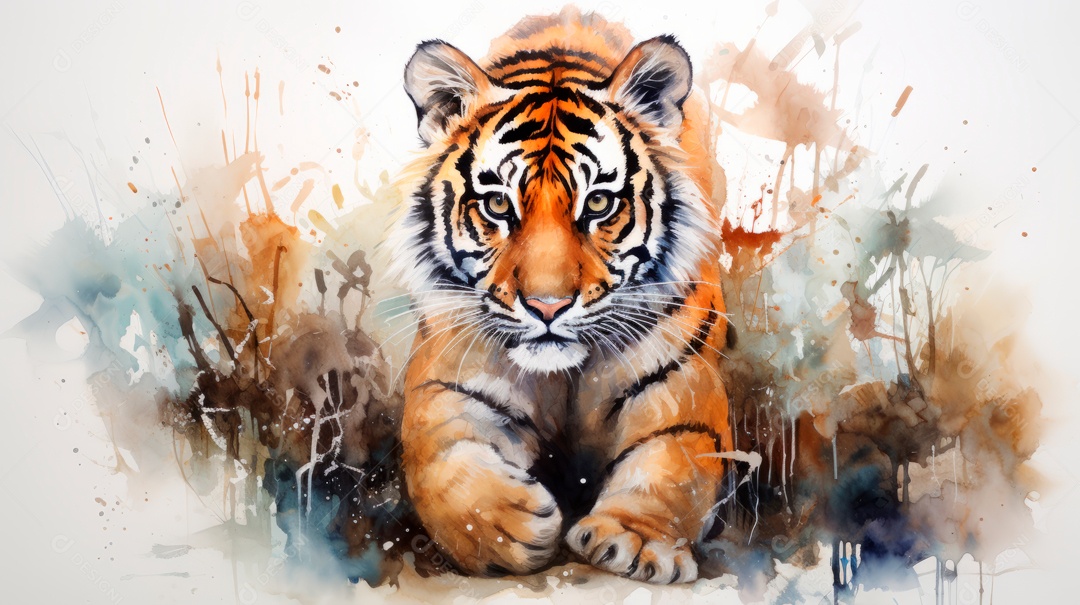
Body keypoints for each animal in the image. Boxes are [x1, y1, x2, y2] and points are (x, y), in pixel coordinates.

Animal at [388, 7, 731, 584]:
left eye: (597, 203)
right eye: (498, 205)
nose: (547, 307)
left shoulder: (684, 391)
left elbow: (673, 463)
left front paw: (637, 541)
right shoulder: (445, 383)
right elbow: (437, 457)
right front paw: (505, 524)